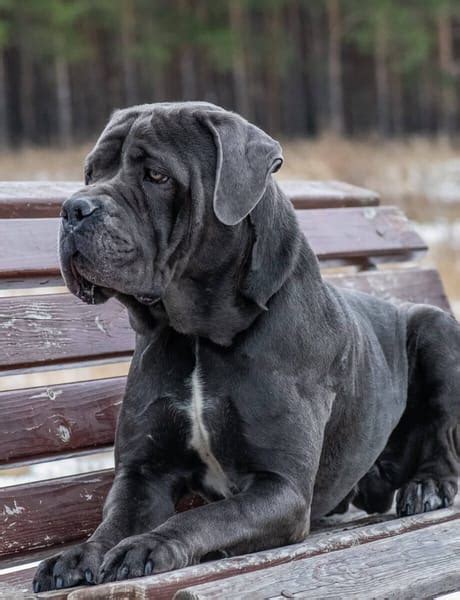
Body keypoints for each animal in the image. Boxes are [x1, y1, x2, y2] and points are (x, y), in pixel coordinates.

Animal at [33, 102, 460, 592]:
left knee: (442, 438)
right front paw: (79, 553)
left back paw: (428, 486)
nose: (73, 208)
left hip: (436, 330)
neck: (197, 336)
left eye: (156, 175)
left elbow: (207, 517)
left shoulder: (281, 487)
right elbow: (116, 519)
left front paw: (150, 546)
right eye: (91, 172)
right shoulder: (143, 473)